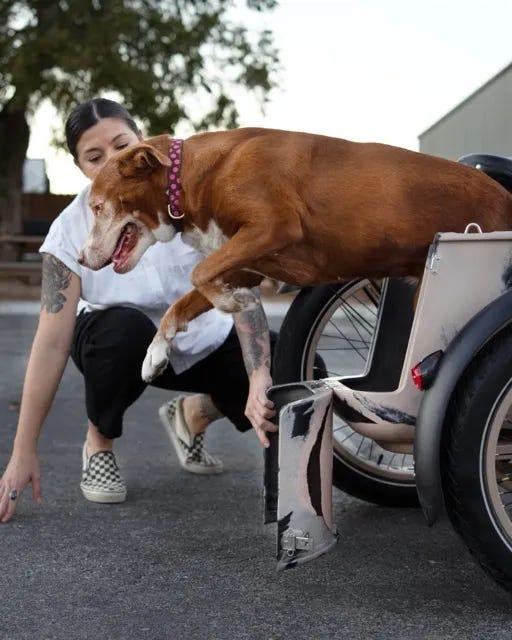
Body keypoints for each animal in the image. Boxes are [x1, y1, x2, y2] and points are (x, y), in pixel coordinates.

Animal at [78, 128, 512, 382]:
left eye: (97, 207)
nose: (80, 258)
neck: (191, 176)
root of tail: (504, 195)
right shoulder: (244, 261)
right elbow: (182, 302)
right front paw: (154, 355)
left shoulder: (272, 227)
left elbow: (198, 273)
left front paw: (232, 303)